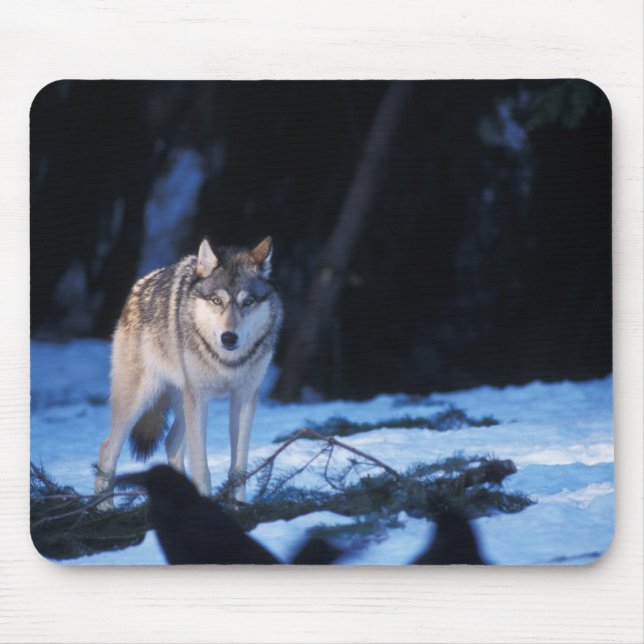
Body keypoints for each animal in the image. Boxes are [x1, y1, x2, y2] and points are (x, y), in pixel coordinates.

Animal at [95, 236, 283, 507]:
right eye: (217, 301)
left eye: (247, 302)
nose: (228, 337)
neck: (227, 362)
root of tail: (138, 285)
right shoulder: (200, 398)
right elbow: (201, 465)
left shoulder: (244, 398)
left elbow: (238, 467)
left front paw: (238, 507)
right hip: (142, 400)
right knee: (107, 450)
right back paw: (104, 509)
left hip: (183, 402)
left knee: (171, 442)